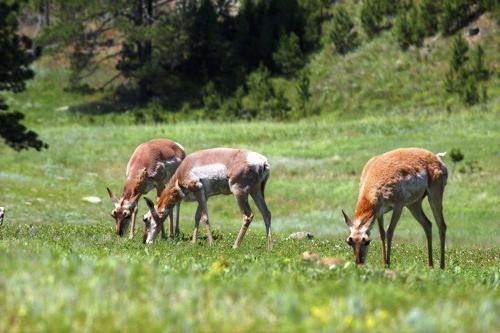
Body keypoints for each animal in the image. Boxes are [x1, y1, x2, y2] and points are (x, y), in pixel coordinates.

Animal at [143, 147, 272, 248]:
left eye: (146, 219)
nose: (145, 241)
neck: (183, 170)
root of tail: (262, 161)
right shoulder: (203, 196)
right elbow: (197, 217)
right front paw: (193, 242)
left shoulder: (198, 189)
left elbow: (204, 217)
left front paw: (211, 243)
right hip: (256, 191)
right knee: (266, 213)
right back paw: (269, 248)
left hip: (239, 193)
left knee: (248, 216)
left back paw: (235, 245)